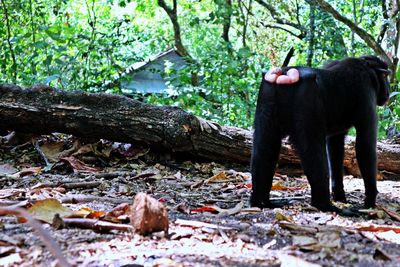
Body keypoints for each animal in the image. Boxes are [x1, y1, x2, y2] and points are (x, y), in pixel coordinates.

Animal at [252, 55, 390, 213]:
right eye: (385, 76)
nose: (388, 89)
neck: (366, 67)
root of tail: (287, 73)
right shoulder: (366, 93)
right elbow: (365, 145)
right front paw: (370, 201)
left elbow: (335, 146)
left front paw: (340, 195)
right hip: (307, 101)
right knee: (313, 149)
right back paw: (325, 204)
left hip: (267, 95)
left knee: (264, 147)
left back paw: (261, 201)